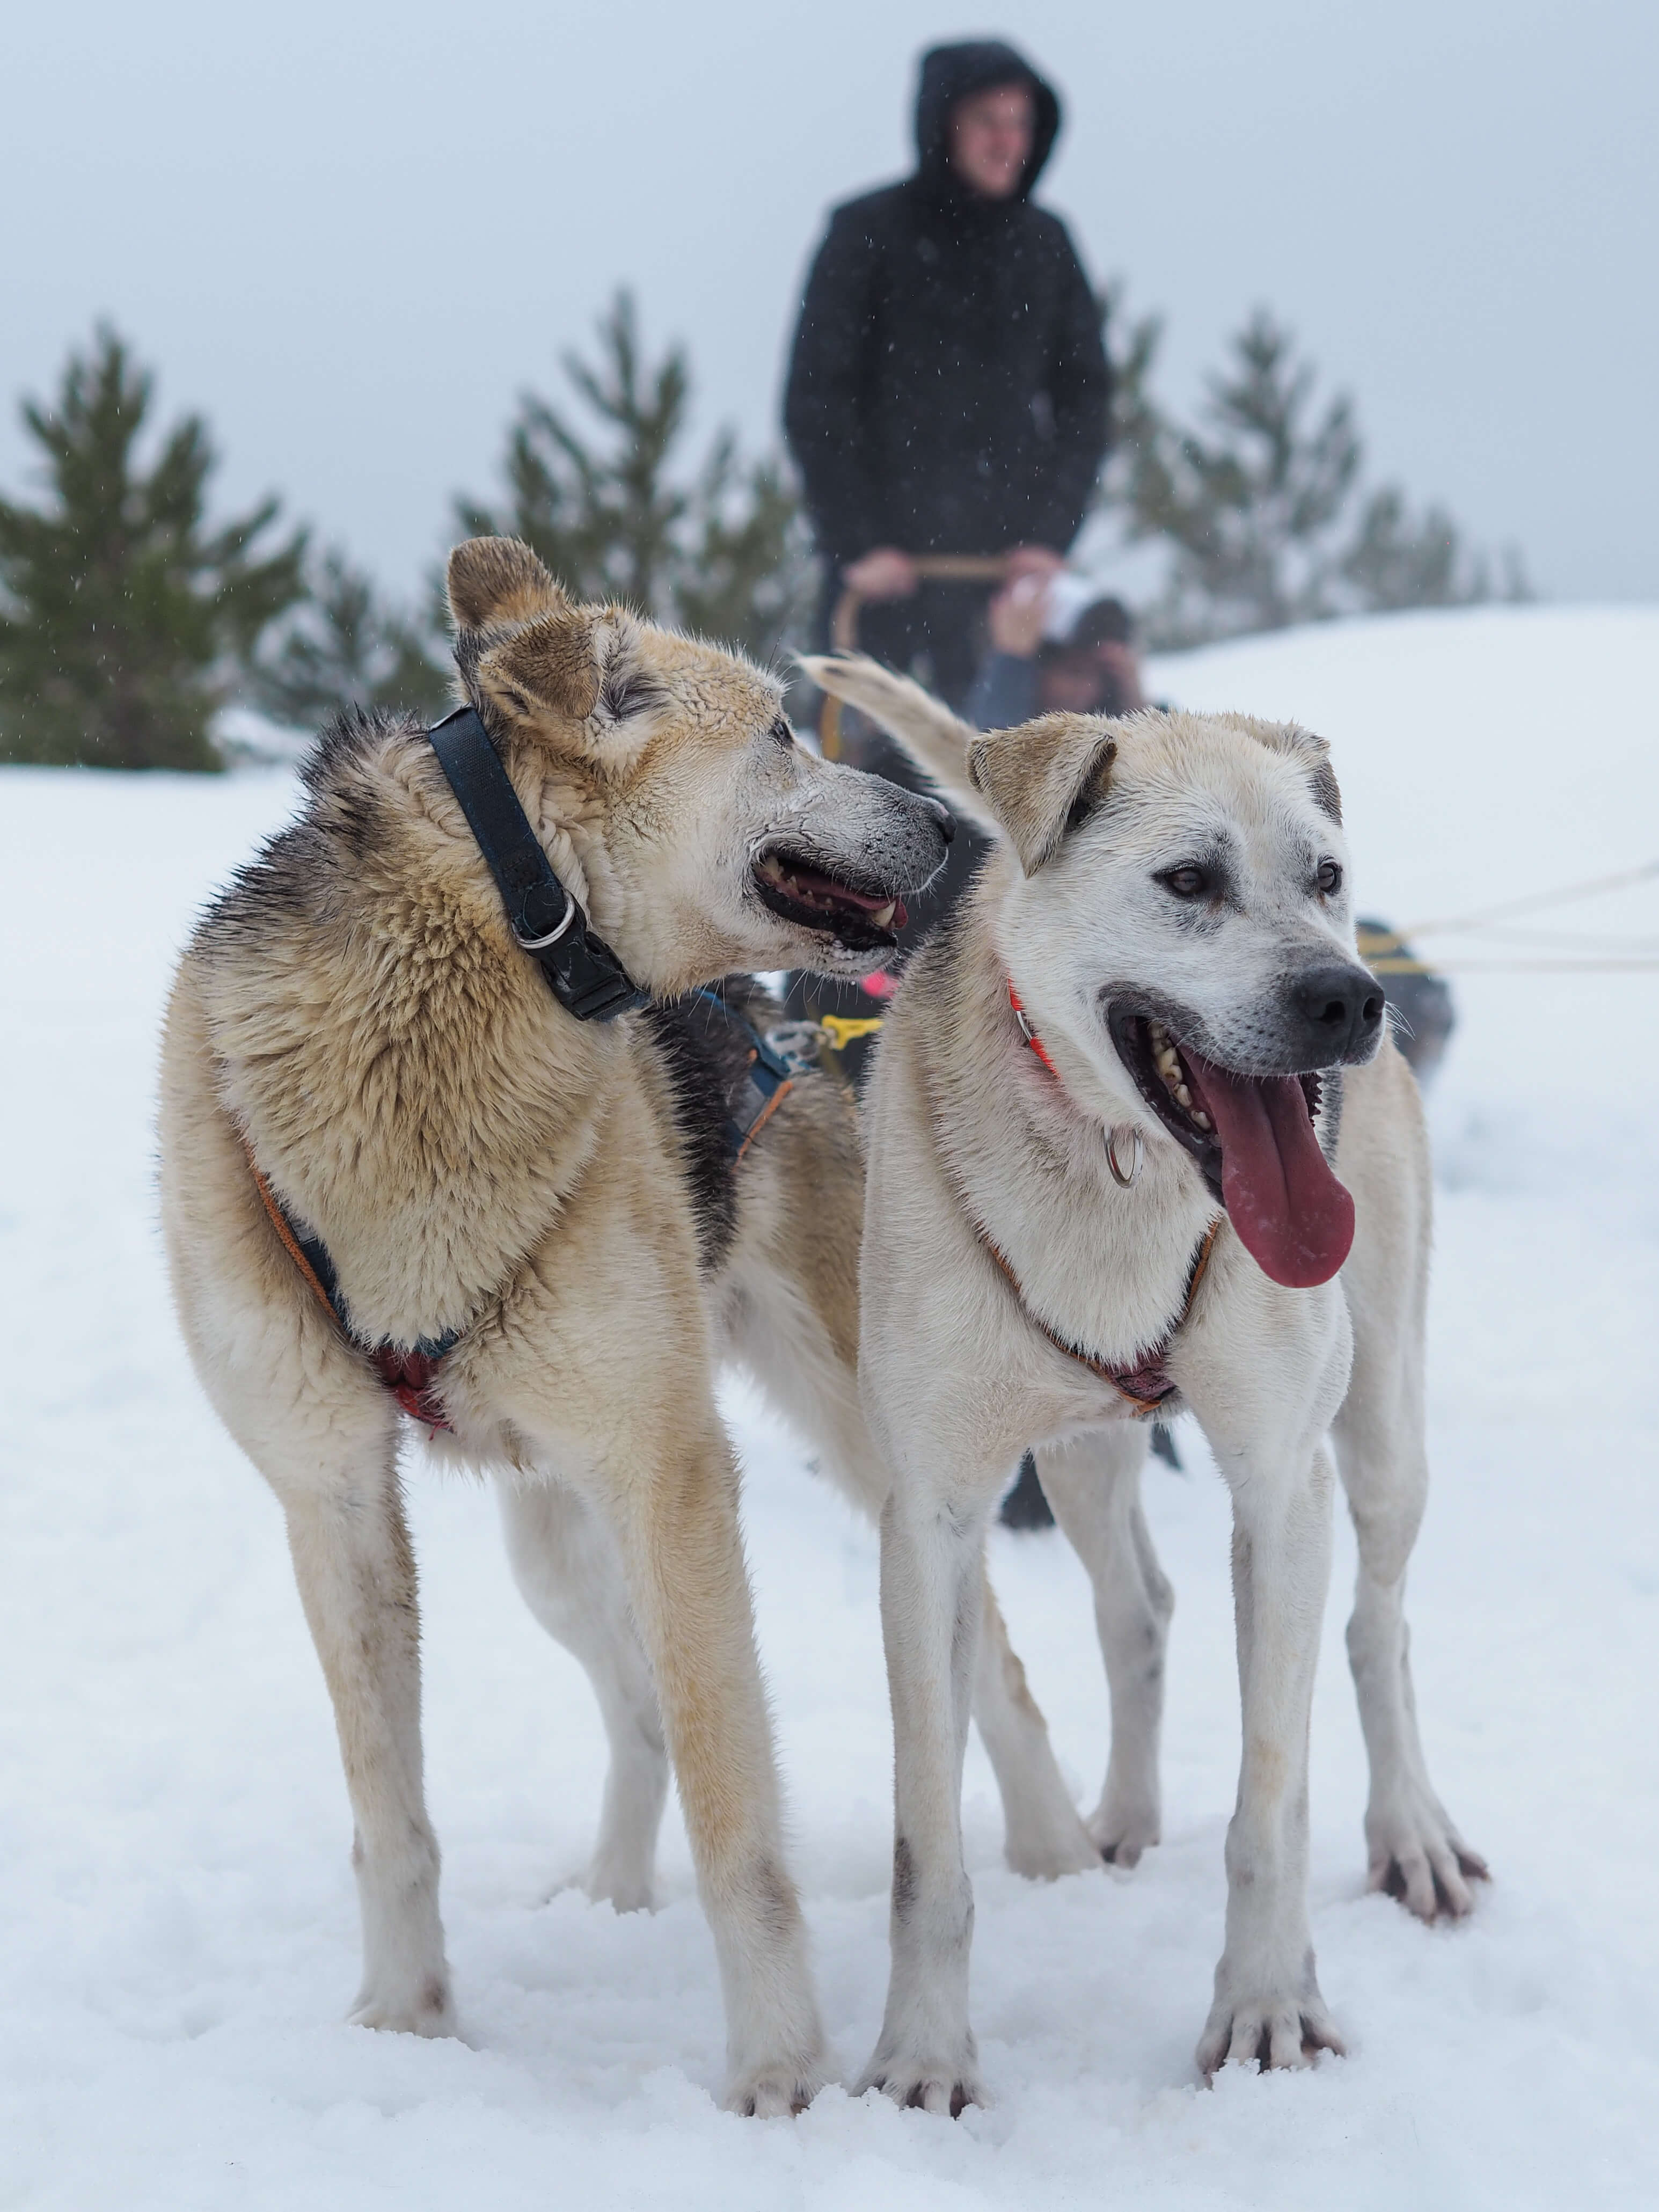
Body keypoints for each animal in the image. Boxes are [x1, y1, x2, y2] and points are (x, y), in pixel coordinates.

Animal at [809, 650, 1495, 2106]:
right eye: (1188, 879)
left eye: (1325, 874)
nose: (1348, 1001)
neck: (1115, 1183)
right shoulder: (933, 1515)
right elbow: (925, 1846)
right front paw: (921, 2053)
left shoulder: (1279, 1489)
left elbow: (1270, 1802)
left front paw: (1268, 2007)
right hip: (1078, 1456)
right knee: (1138, 1612)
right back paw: (1120, 1820)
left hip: (1379, 1434)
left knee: (1378, 1627)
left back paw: (1409, 1828)